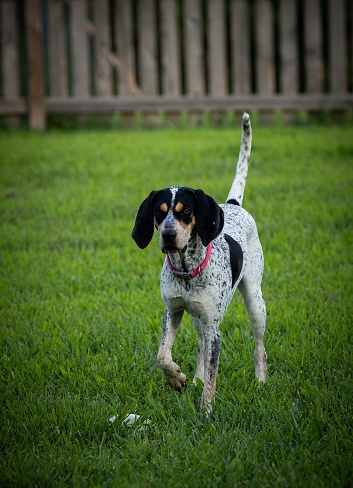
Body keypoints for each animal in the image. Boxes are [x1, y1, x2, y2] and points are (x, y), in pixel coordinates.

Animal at [131, 112, 266, 414]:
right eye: (159, 212)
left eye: (187, 211)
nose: (168, 236)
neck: (187, 271)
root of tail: (233, 204)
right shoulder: (173, 311)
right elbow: (162, 355)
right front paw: (177, 379)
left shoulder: (215, 328)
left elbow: (213, 376)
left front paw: (206, 411)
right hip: (196, 318)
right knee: (201, 346)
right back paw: (194, 379)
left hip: (255, 302)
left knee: (259, 346)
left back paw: (262, 381)